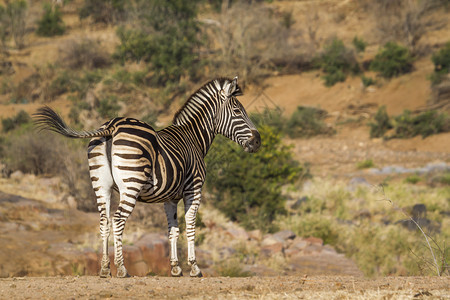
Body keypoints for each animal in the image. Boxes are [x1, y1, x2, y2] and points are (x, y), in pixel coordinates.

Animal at [34, 76, 260, 278]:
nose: (258, 142)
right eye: (238, 111)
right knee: (117, 219)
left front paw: (175, 268)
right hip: (131, 184)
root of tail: (112, 125)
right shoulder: (194, 189)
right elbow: (190, 225)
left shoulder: (170, 198)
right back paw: (122, 269)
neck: (193, 138)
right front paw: (194, 268)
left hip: (101, 185)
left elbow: (173, 229)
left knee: (104, 221)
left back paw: (105, 269)